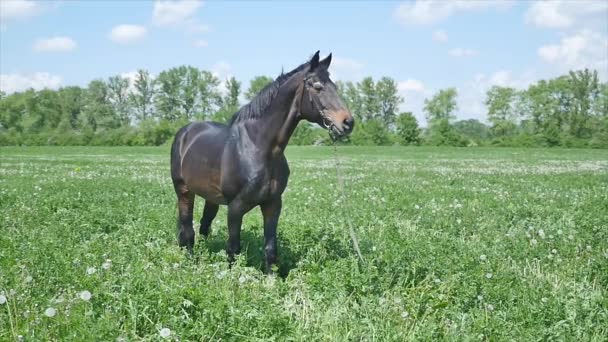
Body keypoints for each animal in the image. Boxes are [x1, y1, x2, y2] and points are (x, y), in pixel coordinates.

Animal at [169, 50, 354, 274]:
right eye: (318, 87)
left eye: (334, 86)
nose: (347, 122)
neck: (259, 148)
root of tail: (185, 132)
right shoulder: (235, 207)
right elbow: (233, 248)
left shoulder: (273, 205)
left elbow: (270, 248)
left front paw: (271, 279)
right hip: (184, 191)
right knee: (187, 229)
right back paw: (189, 261)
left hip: (210, 197)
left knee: (204, 225)